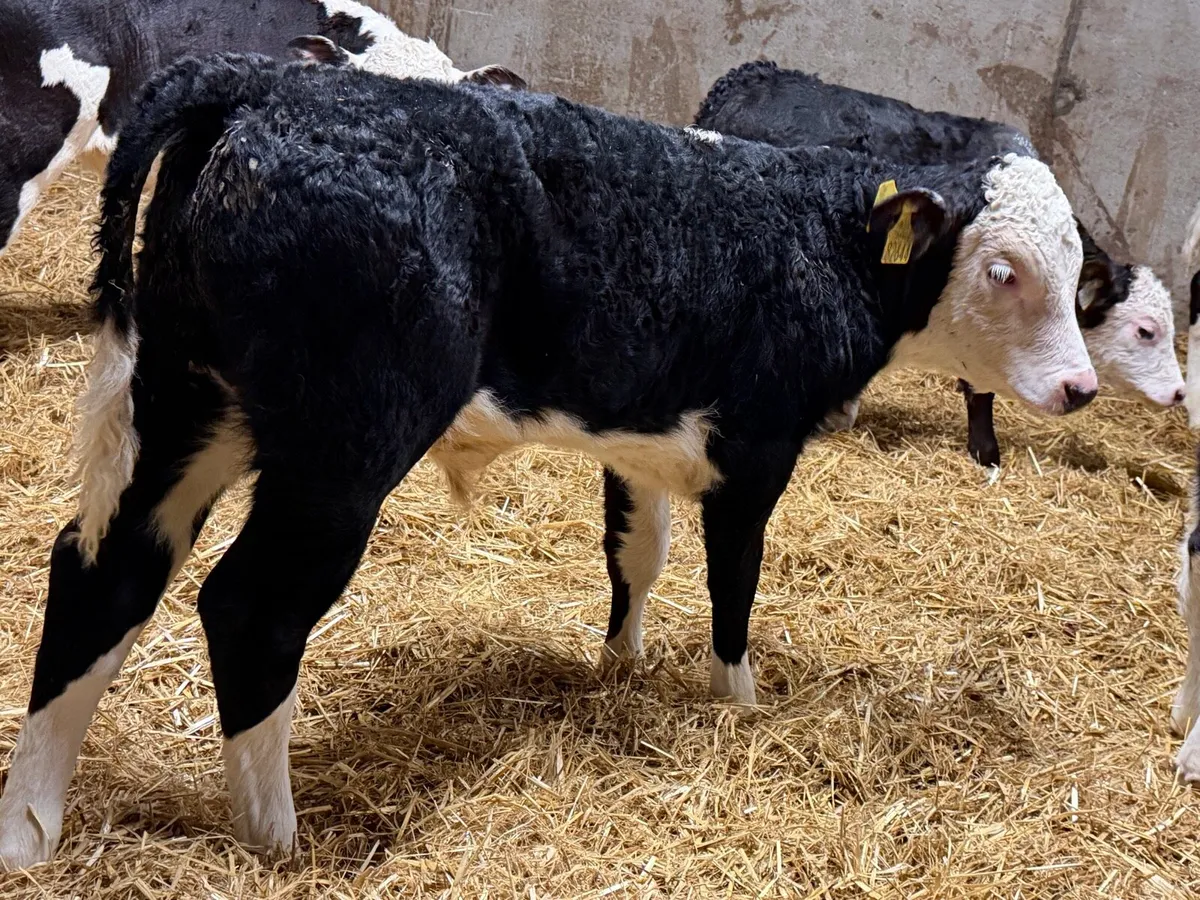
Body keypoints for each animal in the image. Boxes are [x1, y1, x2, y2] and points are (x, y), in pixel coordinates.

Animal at [0, 54, 1093, 865]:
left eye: (1077, 270)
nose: (1081, 388)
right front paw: (736, 705)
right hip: (341, 449)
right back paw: (277, 839)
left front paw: (620, 666)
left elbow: (636, 553)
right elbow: (734, 580)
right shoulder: (758, 446)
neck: (815, 234)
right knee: (249, 609)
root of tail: (263, 84)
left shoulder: (647, 439)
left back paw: (29, 831)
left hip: (187, 399)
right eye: (1004, 271)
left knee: (103, 572)